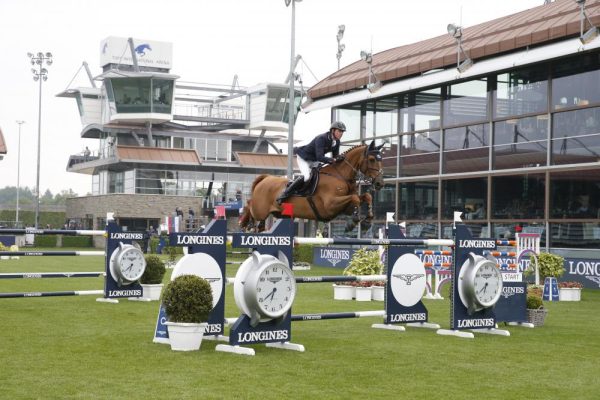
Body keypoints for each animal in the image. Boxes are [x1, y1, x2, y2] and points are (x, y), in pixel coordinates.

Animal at [239, 142, 384, 233]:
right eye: (372, 159)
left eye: (380, 159)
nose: (380, 183)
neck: (340, 175)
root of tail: (265, 178)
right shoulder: (330, 205)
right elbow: (355, 198)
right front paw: (353, 223)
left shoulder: (344, 208)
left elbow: (366, 197)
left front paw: (367, 221)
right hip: (260, 210)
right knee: (249, 206)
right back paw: (244, 222)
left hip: (278, 214)